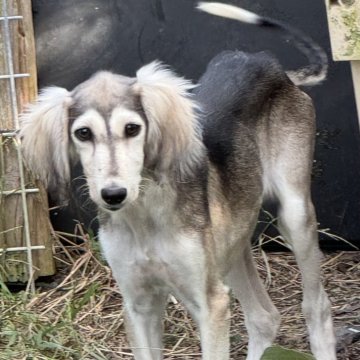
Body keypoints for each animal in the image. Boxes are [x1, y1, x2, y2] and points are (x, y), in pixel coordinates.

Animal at [19, 2, 336, 360]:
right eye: (83, 133)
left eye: (132, 128)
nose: (113, 194)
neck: (144, 217)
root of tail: (273, 67)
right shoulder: (138, 304)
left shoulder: (210, 304)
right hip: (233, 240)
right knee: (264, 317)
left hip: (294, 215)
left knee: (317, 307)